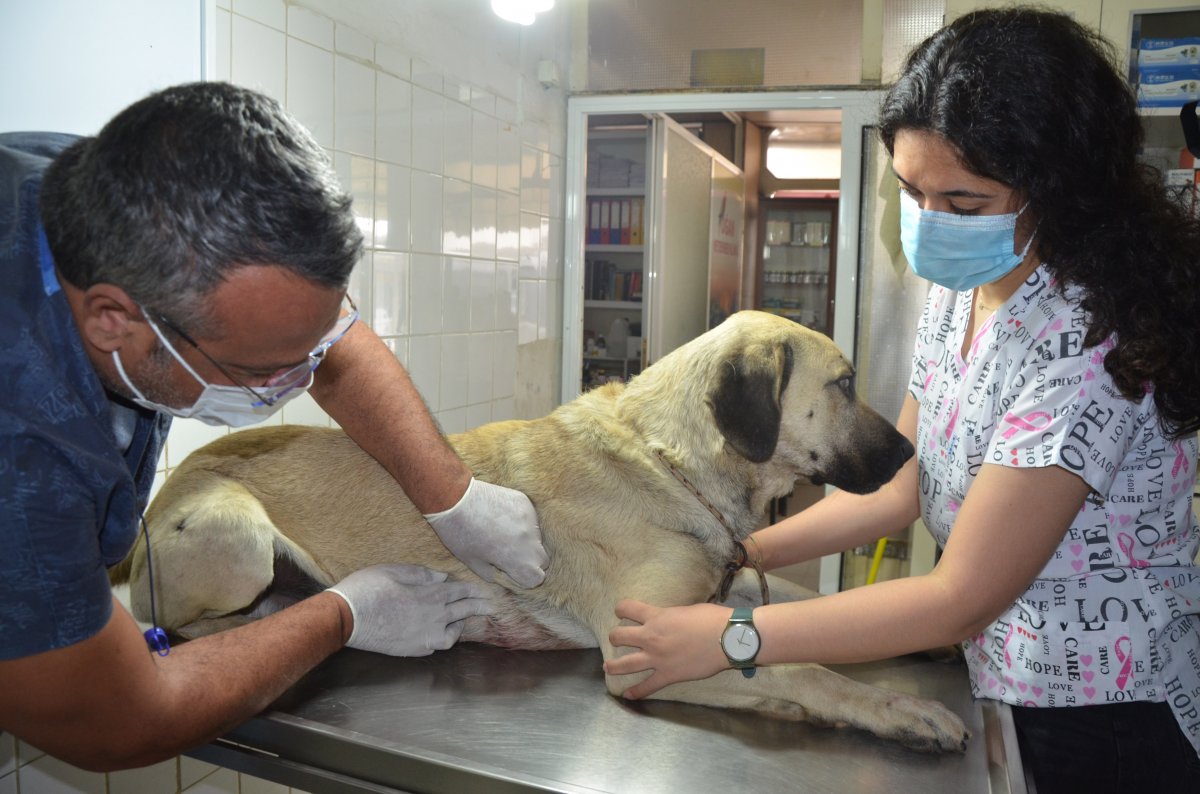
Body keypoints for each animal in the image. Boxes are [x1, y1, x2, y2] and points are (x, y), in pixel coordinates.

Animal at [112, 309, 969, 753]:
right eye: (845, 383)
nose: (912, 457)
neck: (670, 459)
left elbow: (798, 606)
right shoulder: (639, 650)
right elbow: (803, 669)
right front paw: (894, 708)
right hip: (240, 538)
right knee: (182, 628)